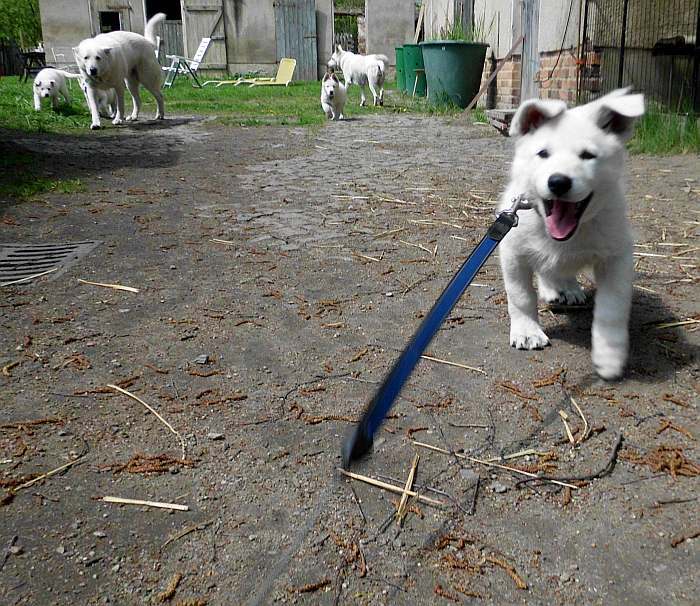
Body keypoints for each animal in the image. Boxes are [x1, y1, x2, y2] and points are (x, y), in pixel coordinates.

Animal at [498, 88, 644, 382]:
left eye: (588, 155)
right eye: (543, 153)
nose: (558, 182)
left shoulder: (617, 257)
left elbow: (612, 307)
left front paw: (609, 354)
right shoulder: (512, 252)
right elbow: (520, 296)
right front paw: (527, 331)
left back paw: (567, 288)